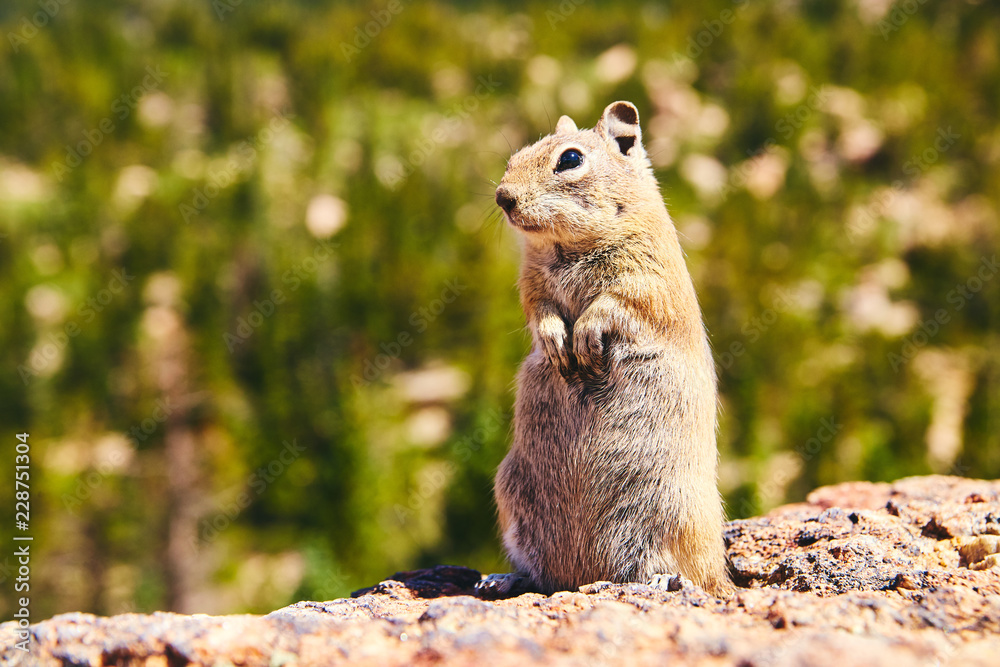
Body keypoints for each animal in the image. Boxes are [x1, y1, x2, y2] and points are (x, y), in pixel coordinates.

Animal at [476, 101, 731, 598]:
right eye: (516, 155)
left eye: (570, 159)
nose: (503, 197)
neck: (567, 247)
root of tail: (584, 575)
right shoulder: (532, 286)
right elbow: (540, 311)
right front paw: (557, 343)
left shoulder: (646, 278)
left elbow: (615, 302)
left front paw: (585, 337)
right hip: (511, 493)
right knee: (540, 572)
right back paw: (502, 579)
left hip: (675, 511)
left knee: (694, 574)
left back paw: (663, 581)